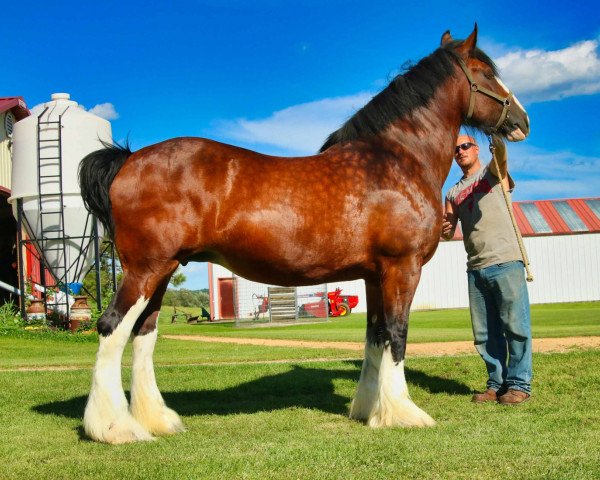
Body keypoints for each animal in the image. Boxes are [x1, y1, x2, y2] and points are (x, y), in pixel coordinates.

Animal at [78, 26, 528, 444]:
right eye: (487, 72)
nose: (522, 121)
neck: (395, 160)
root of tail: (128, 160)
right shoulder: (402, 268)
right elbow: (397, 336)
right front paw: (404, 413)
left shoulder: (374, 276)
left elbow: (375, 337)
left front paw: (369, 410)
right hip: (146, 270)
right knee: (112, 327)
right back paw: (115, 428)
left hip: (162, 270)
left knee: (143, 333)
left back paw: (156, 420)